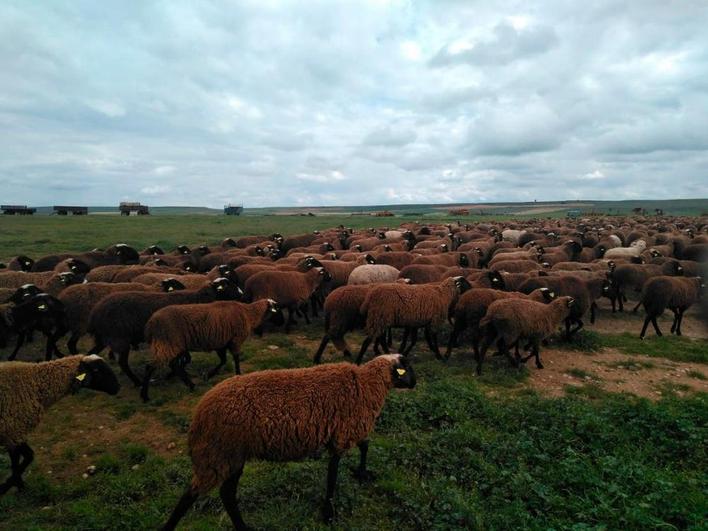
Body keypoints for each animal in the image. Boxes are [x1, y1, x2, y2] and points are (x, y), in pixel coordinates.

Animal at [0, 356, 119, 496]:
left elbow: (24, 458)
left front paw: (17, 486)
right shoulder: (13, 430)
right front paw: (9, 486)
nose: (118, 387)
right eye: (97, 370)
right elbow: (22, 460)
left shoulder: (13, 434)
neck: (34, 382)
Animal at [85, 278, 241, 386]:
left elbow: (185, 358)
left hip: (104, 338)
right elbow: (184, 359)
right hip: (120, 338)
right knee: (123, 363)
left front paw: (173, 374)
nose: (242, 294)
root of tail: (95, 313)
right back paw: (137, 382)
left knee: (89, 353)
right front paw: (173, 374)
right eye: (228, 285)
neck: (199, 299)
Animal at [141, 300, 284, 400]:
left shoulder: (222, 343)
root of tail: (150, 324)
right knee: (151, 366)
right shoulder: (235, 340)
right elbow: (236, 359)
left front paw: (209, 375)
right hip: (168, 343)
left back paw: (187, 383)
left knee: (173, 365)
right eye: (277, 309)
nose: (282, 322)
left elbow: (223, 360)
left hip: (171, 345)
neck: (249, 314)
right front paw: (238, 374)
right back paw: (145, 395)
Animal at [160, 352, 414, 528]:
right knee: (192, 495)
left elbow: (365, 445)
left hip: (231, 456)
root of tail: (198, 416)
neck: (366, 383)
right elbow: (333, 477)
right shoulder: (343, 434)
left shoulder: (345, 431)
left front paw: (362, 473)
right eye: (408, 369)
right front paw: (329, 514)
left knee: (226, 494)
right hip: (218, 453)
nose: (415, 382)